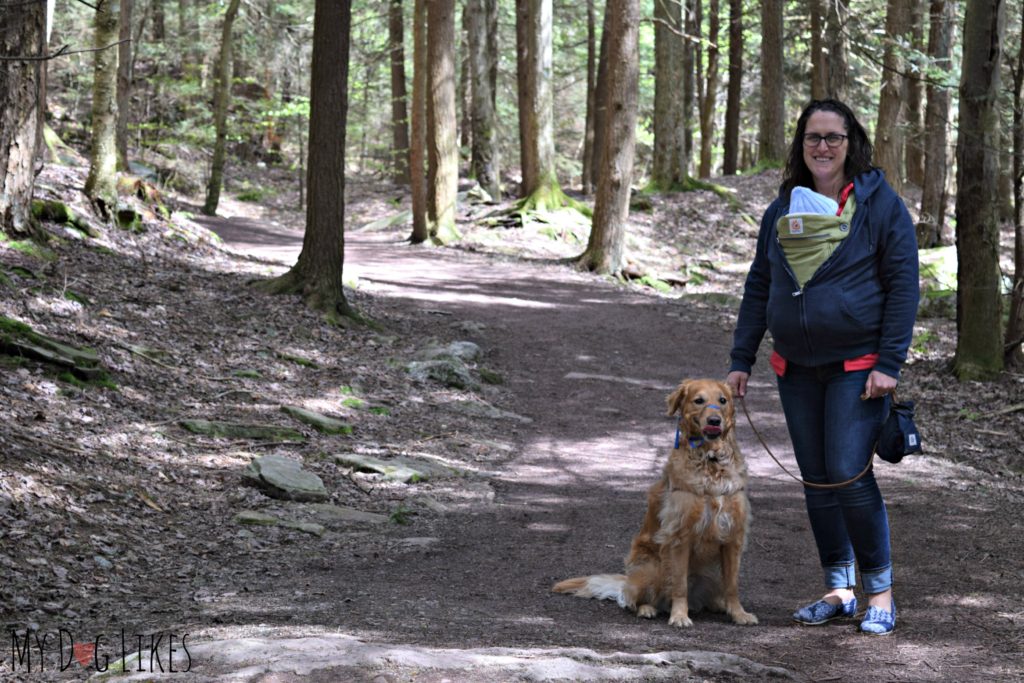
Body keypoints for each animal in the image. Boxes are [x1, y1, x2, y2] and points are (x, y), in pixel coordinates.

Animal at [557, 378, 757, 630]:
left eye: (723, 400)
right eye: (698, 400)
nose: (714, 420)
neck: (710, 462)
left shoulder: (733, 536)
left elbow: (732, 585)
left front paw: (739, 613)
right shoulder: (680, 537)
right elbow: (679, 585)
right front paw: (679, 616)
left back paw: (719, 605)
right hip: (653, 568)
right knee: (632, 599)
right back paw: (647, 609)